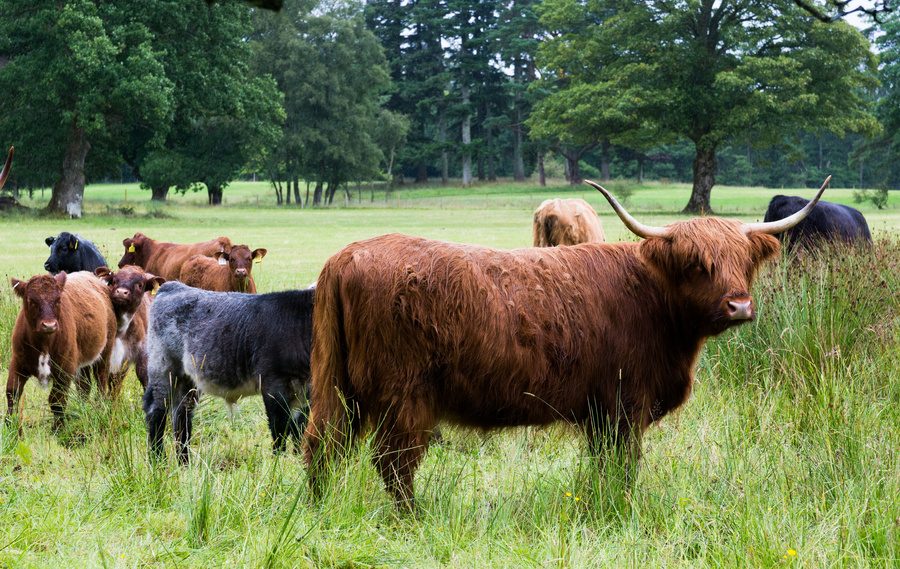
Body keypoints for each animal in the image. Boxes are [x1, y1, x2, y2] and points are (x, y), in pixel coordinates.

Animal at [7, 271, 117, 432]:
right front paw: (10, 425)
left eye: (58, 300)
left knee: (101, 380)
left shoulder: (65, 369)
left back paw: (100, 406)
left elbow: (56, 399)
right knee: (84, 386)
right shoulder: (17, 363)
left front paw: (58, 428)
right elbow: (12, 392)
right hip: (82, 361)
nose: (49, 325)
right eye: (31, 301)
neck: (44, 344)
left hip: (105, 352)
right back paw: (83, 407)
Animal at [143, 282, 315, 463]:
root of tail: (173, 286)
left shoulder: (305, 391)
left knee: (181, 415)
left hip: (187, 379)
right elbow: (280, 429)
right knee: (156, 411)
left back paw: (183, 462)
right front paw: (278, 462)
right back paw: (158, 460)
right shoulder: (273, 384)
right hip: (163, 368)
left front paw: (298, 460)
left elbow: (299, 428)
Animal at [303, 177, 831, 509]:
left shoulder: (601, 413)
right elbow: (622, 467)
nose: (739, 306)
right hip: (403, 394)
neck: (654, 300)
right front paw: (619, 508)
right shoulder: (624, 405)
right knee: (393, 463)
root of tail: (345, 256)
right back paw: (412, 519)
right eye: (696, 264)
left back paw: (320, 510)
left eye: (742, 260)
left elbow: (604, 468)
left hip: (337, 384)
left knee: (323, 445)